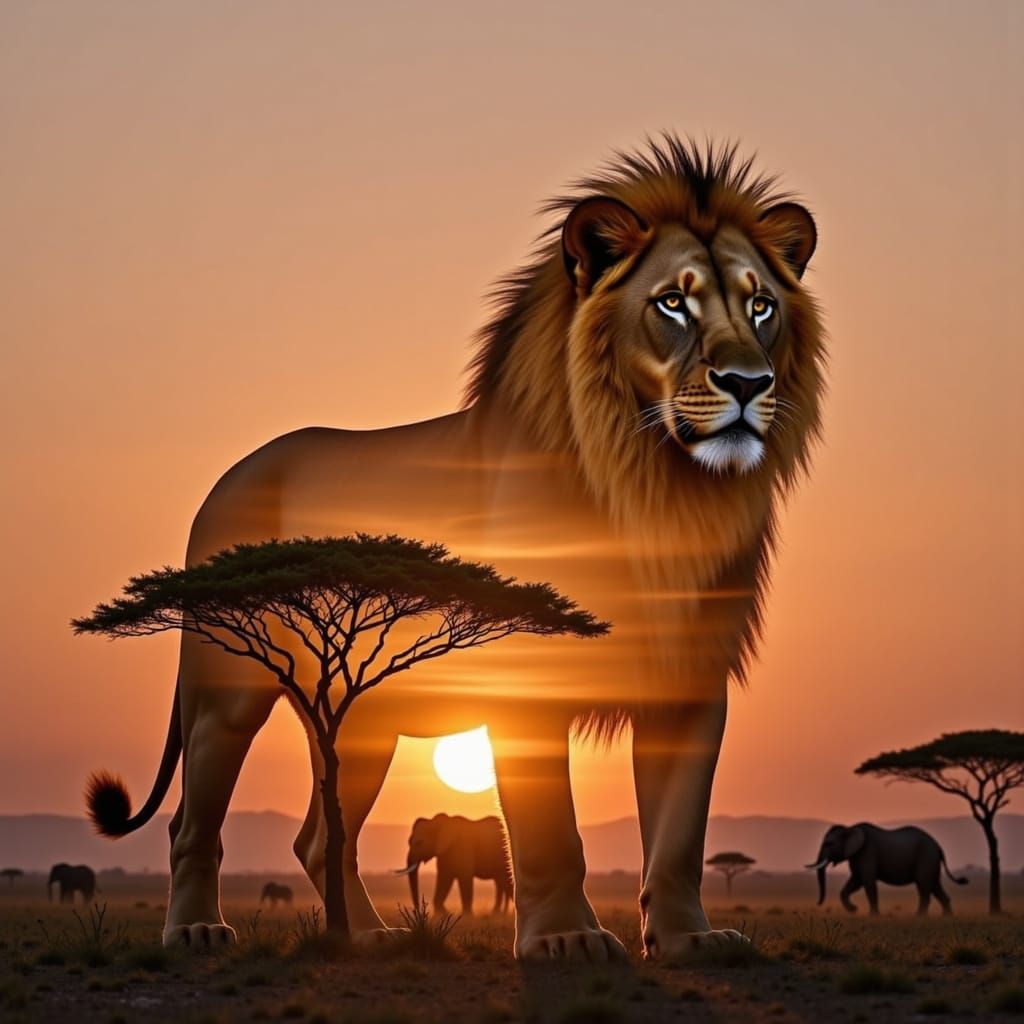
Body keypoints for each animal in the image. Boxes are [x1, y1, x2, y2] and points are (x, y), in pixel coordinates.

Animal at [85, 137, 825, 960]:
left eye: (761, 305)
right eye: (673, 303)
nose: (748, 382)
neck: (659, 492)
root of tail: (229, 477)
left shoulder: (691, 676)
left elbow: (679, 834)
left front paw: (689, 939)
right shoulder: (527, 675)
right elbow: (549, 828)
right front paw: (566, 940)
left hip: (359, 717)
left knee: (321, 837)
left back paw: (368, 940)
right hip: (228, 691)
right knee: (193, 822)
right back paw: (196, 931)